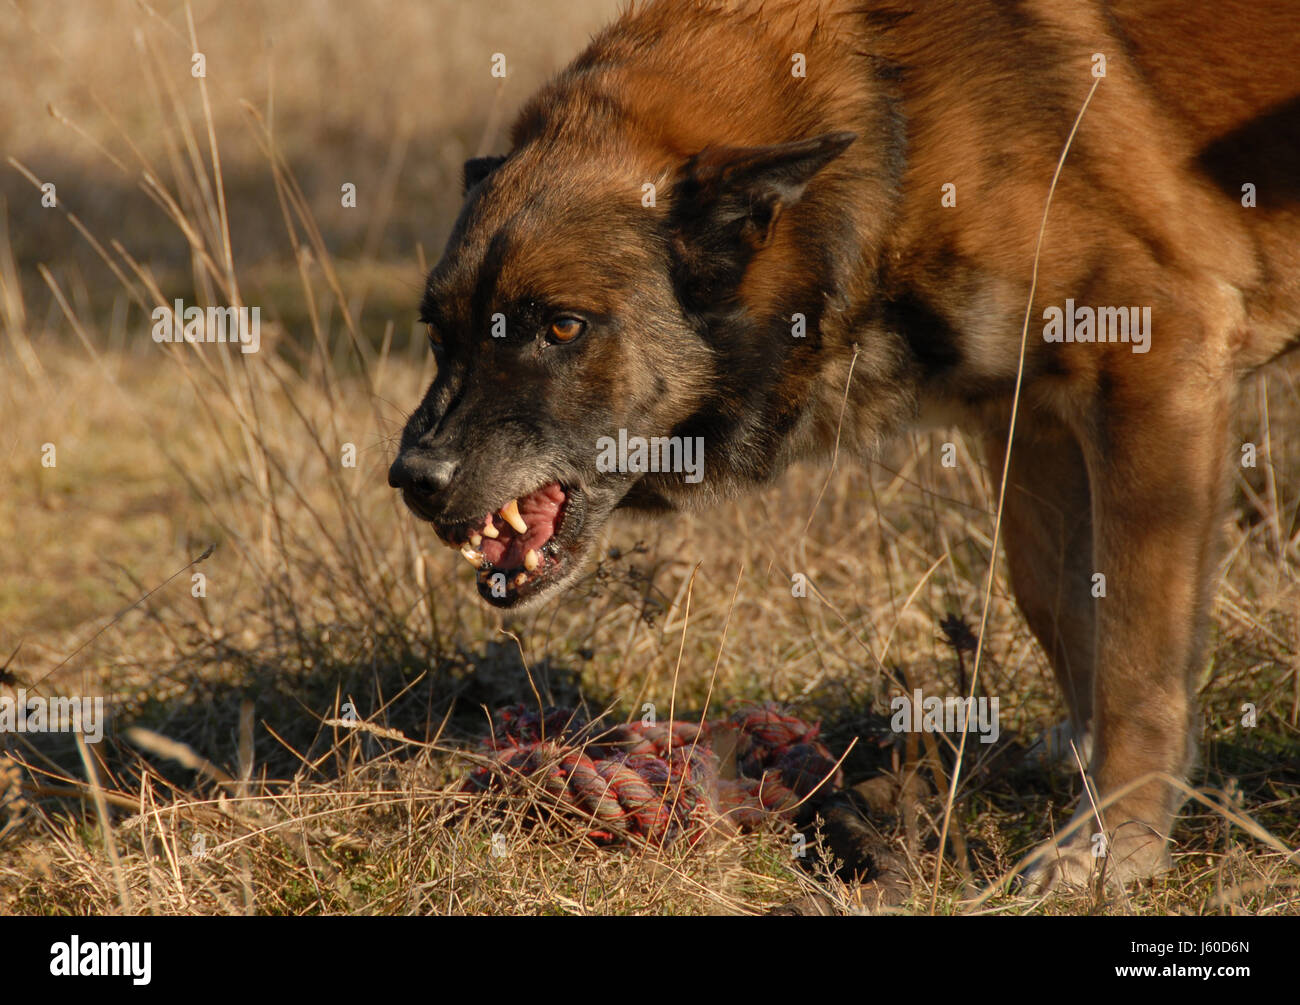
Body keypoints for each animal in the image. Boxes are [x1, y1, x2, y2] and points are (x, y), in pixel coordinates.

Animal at [390, 3, 1300, 889]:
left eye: (562, 326)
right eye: (438, 332)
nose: (412, 479)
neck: (898, 116)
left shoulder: (1152, 370)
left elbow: (1136, 659)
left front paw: (1116, 836)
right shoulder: (1030, 418)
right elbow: (1061, 605)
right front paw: (1083, 758)